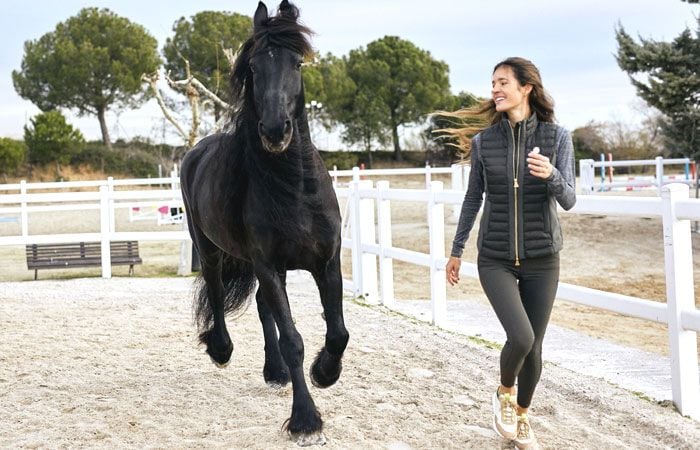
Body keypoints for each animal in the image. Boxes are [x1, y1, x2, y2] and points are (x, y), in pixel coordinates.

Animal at [178, 0, 348, 444]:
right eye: (253, 67)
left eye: (297, 64)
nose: (274, 130)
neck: (295, 190)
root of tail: (196, 151)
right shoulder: (268, 266)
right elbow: (293, 339)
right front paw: (305, 419)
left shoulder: (327, 262)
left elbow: (337, 332)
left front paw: (325, 372)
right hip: (209, 248)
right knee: (217, 292)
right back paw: (221, 349)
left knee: (259, 305)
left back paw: (275, 373)